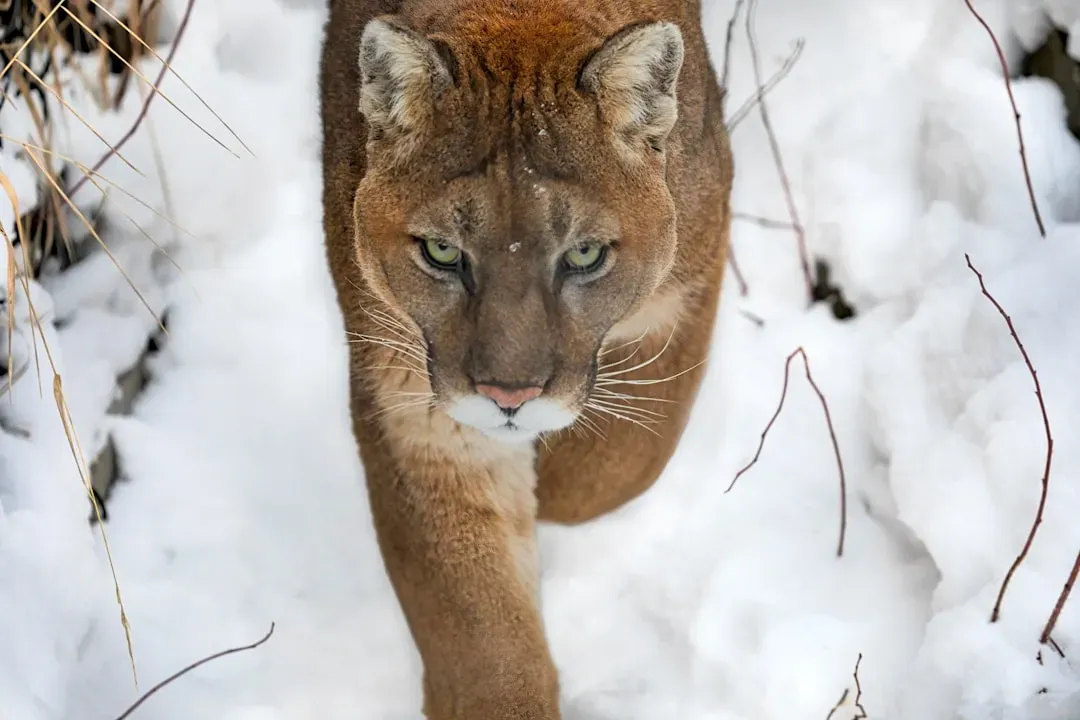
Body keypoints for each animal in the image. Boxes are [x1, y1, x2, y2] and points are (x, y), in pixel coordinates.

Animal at [319, 0, 733, 716]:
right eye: (442, 252)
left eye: (585, 255)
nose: (509, 397)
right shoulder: (418, 407)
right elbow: (483, 640)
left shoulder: (685, 286)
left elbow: (614, 467)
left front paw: (554, 487)